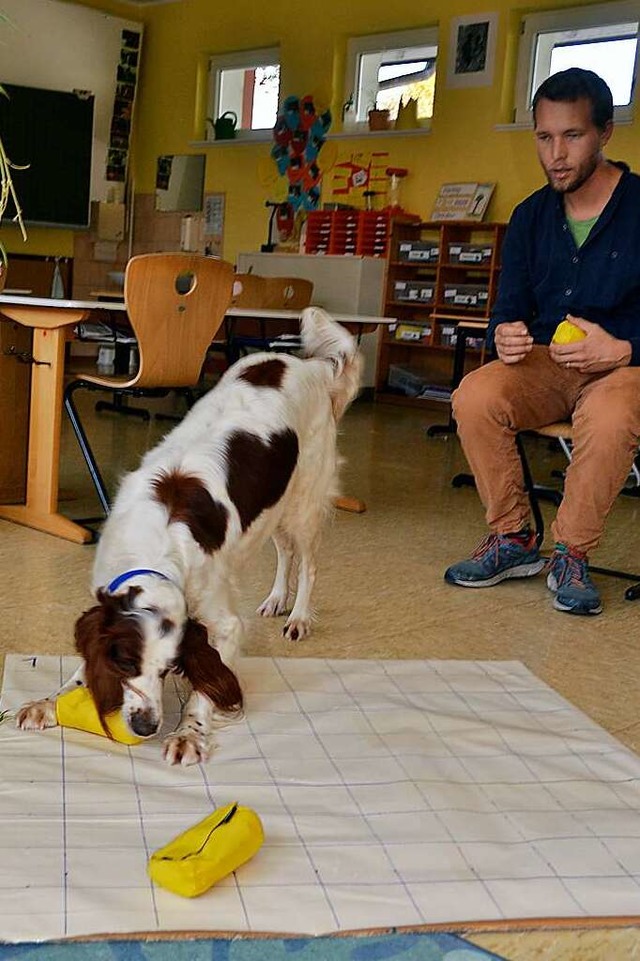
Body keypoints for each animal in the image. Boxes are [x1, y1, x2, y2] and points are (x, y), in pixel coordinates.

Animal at [17, 308, 360, 764]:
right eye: (126, 664)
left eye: (168, 669)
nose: (147, 727)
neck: (155, 549)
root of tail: (312, 366)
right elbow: (81, 670)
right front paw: (48, 702)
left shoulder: (223, 623)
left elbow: (203, 689)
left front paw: (188, 735)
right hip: (272, 505)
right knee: (284, 552)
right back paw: (274, 600)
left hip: (303, 501)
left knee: (308, 563)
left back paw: (298, 616)